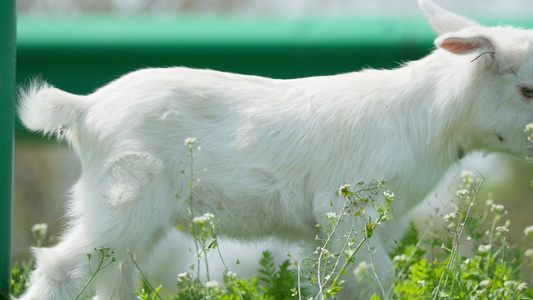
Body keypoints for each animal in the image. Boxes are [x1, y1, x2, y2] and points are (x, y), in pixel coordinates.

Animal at [16, 1, 533, 298]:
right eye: (528, 90)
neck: (427, 118)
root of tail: (84, 108)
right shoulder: (347, 211)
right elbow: (376, 280)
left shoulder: (371, 224)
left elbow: (334, 280)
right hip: (125, 197)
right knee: (62, 268)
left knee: (113, 277)